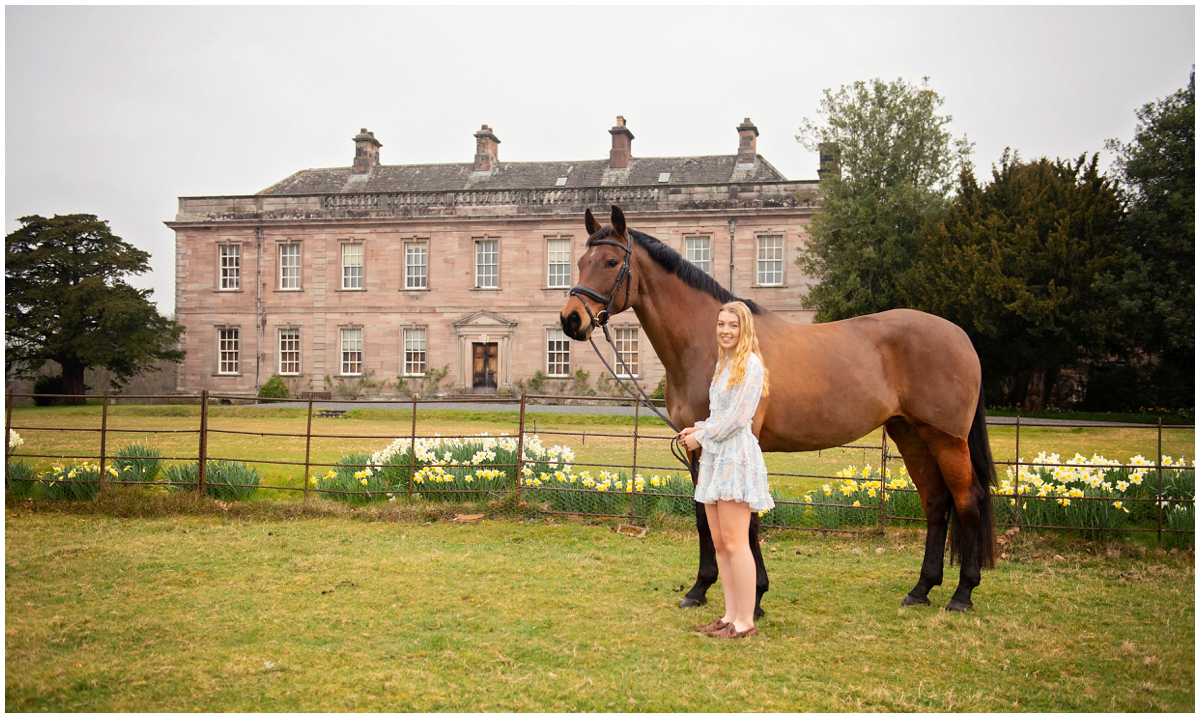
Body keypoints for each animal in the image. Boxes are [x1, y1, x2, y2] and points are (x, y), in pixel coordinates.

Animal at [560, 205, 998, 614]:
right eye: (578, 262)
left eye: (611, 262)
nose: (570, 320)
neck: (716, 345)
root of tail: (960, 336)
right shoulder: (696, 445)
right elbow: (704, 515)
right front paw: (700, 589)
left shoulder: (737, 439)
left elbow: (746, 517)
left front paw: (754, 596)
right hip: (910, 433)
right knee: (936, 502)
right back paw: (921, 589)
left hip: (946, 439)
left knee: (968, 500)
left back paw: (962, 594)